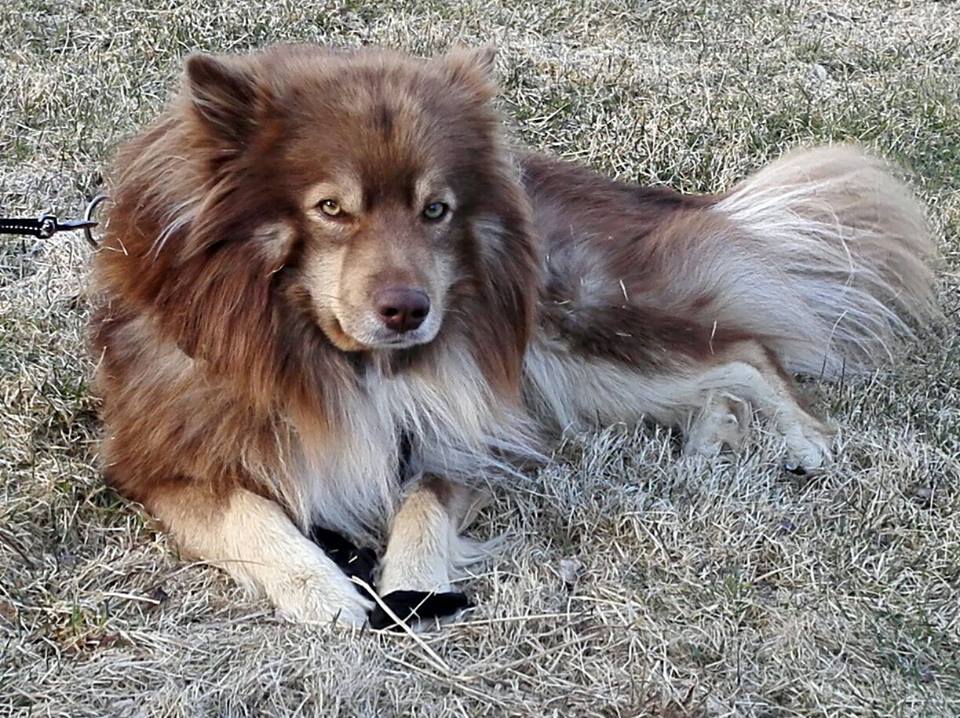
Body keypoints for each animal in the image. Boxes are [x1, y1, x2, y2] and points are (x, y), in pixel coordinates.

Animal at [89, 44, 937, 626]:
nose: (409, 311)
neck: (335, 358)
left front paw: (413, 588)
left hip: (574, 337)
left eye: (436, 210)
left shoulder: (470, 427)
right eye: (331, 208)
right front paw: (322, 591)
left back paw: (800, 439)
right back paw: (709, 441)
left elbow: (424, 506)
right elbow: (250, 514)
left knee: (743, 351)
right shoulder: (162, 463)